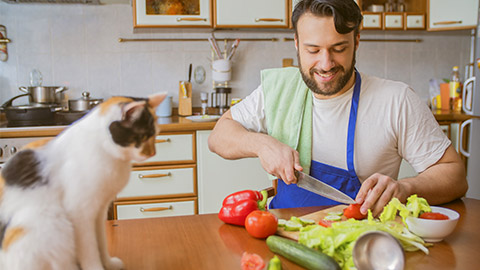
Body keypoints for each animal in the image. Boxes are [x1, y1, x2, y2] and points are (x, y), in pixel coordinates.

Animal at [0, 92, 168, 270]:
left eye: (156, 134)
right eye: (143, 136)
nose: (153, 153)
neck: (107, 153)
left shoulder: (100, 211)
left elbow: (101, 242)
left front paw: (108, 263)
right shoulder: (80, 213)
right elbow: (89, 248)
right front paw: (96, 267)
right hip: (48, 221)